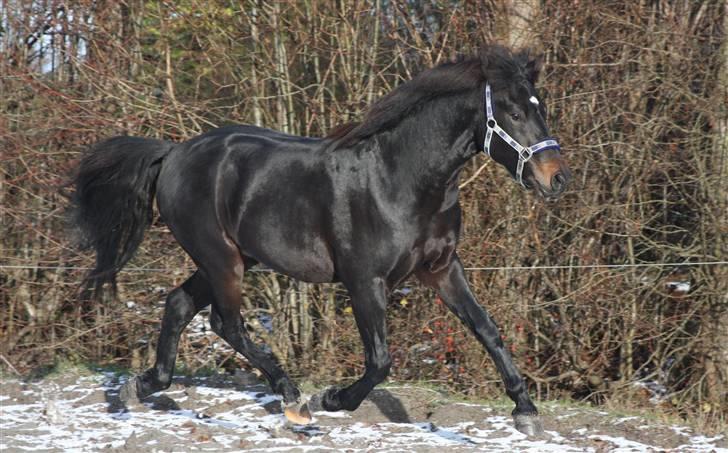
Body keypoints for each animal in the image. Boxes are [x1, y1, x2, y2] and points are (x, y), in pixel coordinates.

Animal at [74, 45, 572, 434]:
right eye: (513, 111)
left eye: (541, 106)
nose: (557, 179)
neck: (401, 179)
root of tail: (174, 151)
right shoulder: (364, 281)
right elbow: (380, 360)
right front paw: (332, 399)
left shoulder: (443, 269)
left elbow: (487, 329)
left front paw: (526, 411)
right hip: (221, 259)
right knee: (225, 323)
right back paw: (294, 399)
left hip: (232, 258)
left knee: (179, 304)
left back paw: (143, 386)